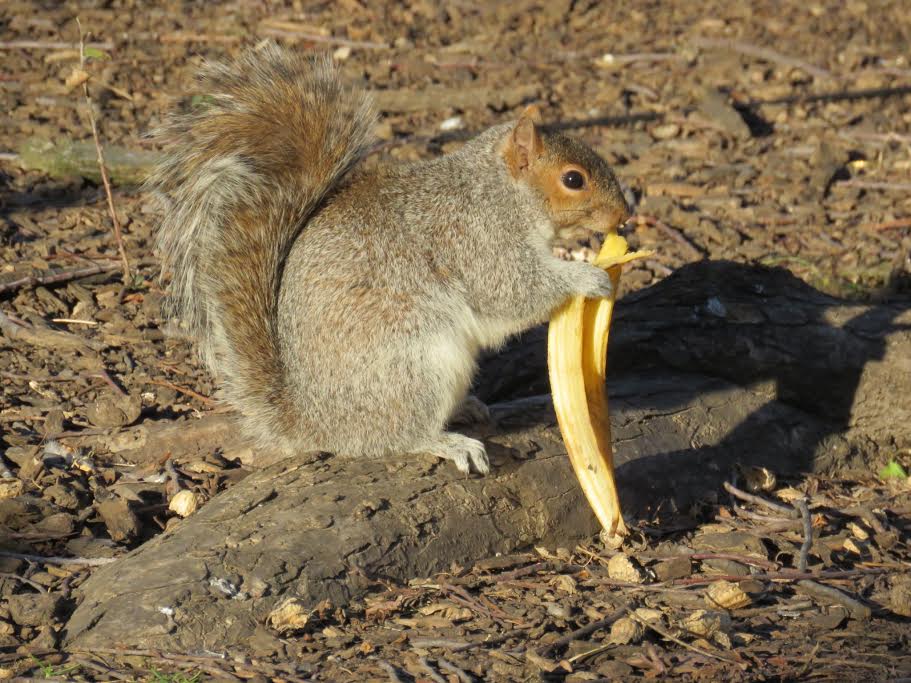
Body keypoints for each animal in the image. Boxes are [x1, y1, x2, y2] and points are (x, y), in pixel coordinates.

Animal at [148, 45, 629, 475]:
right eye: (573, 179)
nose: (624, 215)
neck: (497, 190)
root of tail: (313, 421)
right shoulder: (475, 238)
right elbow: (511, 289)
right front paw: (589, 274)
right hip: (416, 365)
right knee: (394, 437)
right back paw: (447, 442)